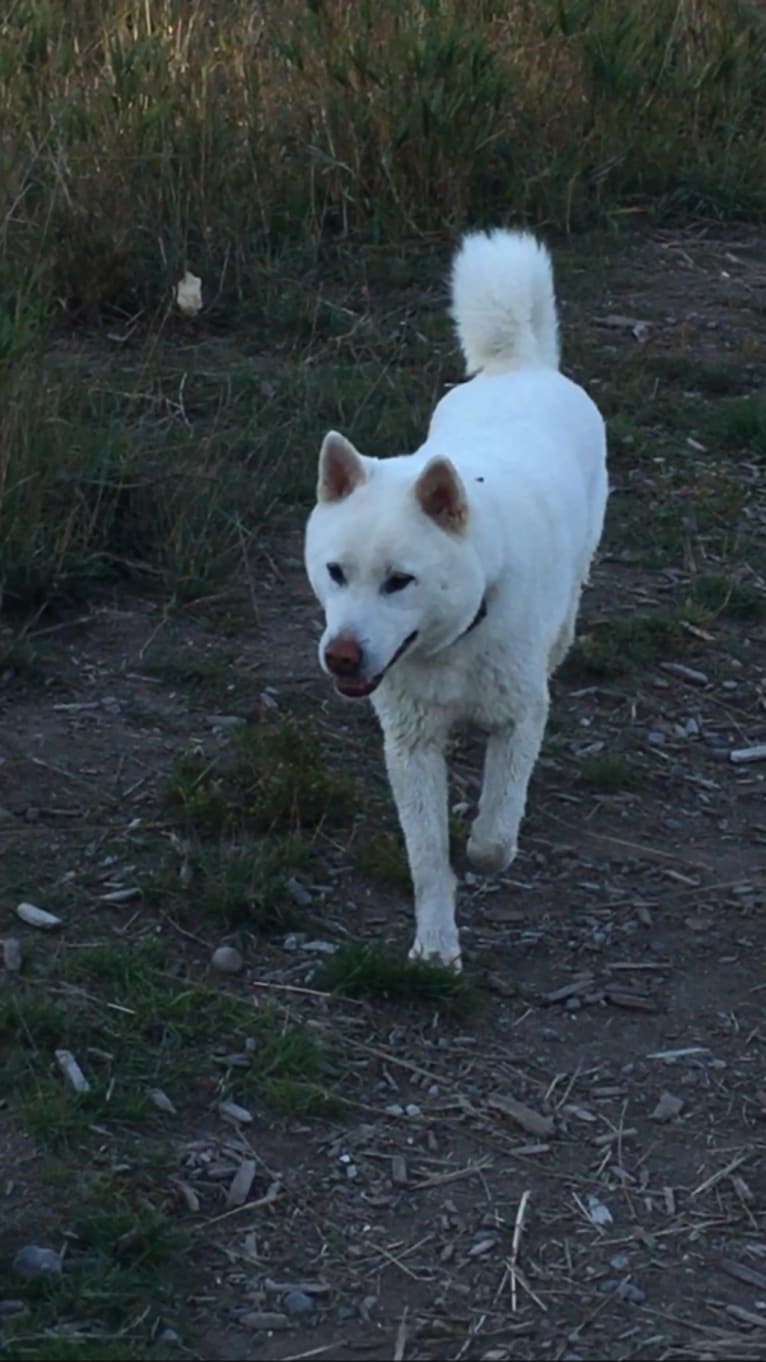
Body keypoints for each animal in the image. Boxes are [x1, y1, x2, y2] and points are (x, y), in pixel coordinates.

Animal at [301, 228, 605, 969]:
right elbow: (426, 857)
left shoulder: (522, 716)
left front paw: (484, 845)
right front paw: (437, 945)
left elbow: (494, 836)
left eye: (399, 581)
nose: (341, 657)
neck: (462, 634)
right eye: (334, 572)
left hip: (572, 596)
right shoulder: (408, 745)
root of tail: (520, 365)